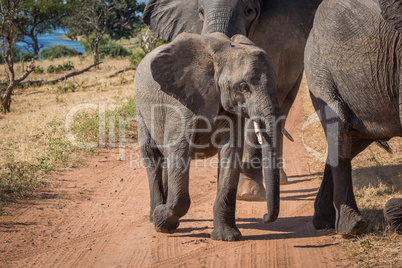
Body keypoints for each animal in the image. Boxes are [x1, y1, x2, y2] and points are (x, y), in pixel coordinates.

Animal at [134, 33, 282, 241]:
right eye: (243, 86)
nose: (264, 216)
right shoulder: (180, 103)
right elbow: (179, 151)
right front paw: (162, 224)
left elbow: (230, 154)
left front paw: (227, 237)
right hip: (141, 109)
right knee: (152, 154)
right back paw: (154, 216)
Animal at [304, 0, 402, 234]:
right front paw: (393, 215)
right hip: (319, 69)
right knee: (339, 130)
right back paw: (353, 227)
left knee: (352, 139)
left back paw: (325, 221)